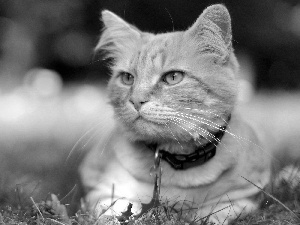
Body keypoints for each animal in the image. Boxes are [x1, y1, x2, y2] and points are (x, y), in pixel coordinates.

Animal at [80, 4, 274, 224]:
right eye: (127, 78)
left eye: (173, 77)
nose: (136, 101)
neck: (177, 159)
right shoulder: (98, 187)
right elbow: (113, 207)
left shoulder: (247, 195)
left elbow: (220, 212)